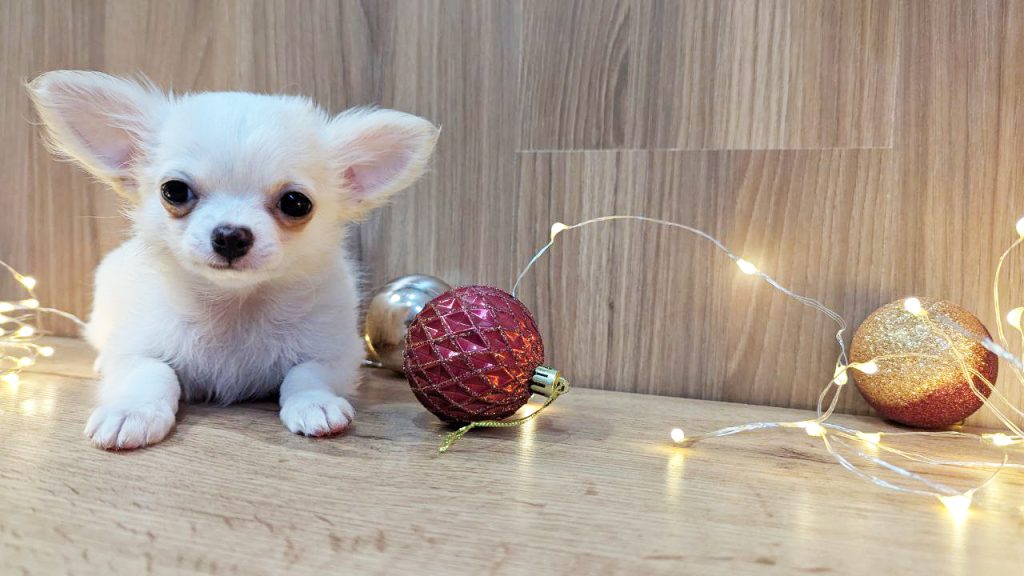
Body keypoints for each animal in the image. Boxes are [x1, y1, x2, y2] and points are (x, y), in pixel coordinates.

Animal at [28, 71, 438, 450]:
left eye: (296, 203)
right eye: (174, 191)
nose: (230, 235)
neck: (234, 305)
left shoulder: (337, 352)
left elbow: (305, 375)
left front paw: (315, 404)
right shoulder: (136, 348)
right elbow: (153, 373)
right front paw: (131, 411)